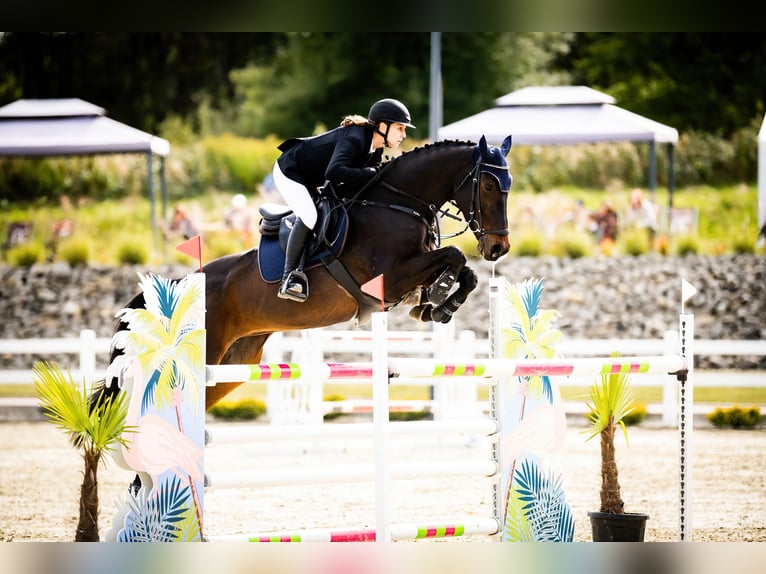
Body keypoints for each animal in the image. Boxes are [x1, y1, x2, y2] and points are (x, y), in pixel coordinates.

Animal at [97, 136, 516, 414]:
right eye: (489, 184)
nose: (499, 248)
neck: (398, 201)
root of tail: (176, 288)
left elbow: (464, 272)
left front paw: (438, 305)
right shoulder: (390, 277)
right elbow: (454, 255)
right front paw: (440, 299)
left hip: (232, 365)